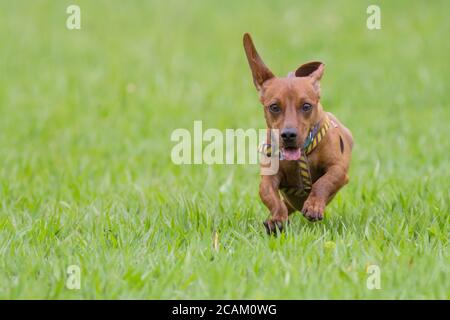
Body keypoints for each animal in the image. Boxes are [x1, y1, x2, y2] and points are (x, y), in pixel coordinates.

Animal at [243, 32, 352, 234]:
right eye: (274, 107)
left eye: (306, 106)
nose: (288, 135)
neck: (302, 155)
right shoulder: (268, 178)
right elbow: (271, 196)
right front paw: (277, 218)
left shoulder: (339, 170)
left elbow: (323, 182)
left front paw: (314, 205)